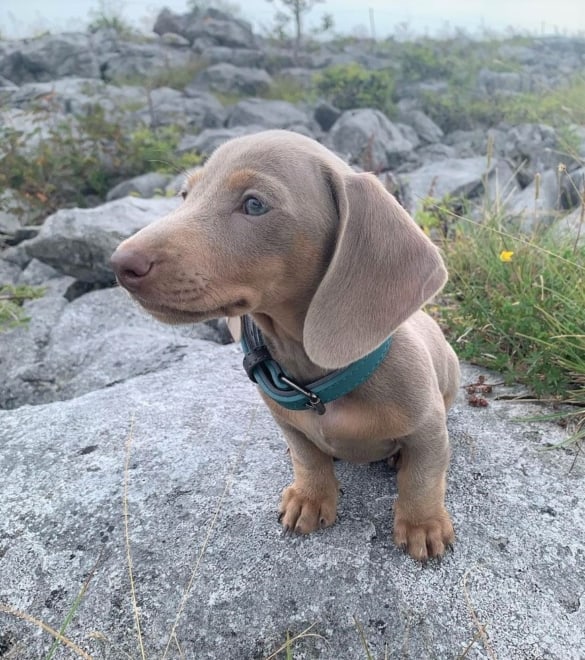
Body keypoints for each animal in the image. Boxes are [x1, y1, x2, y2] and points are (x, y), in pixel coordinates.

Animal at [108, 130, 456, 564]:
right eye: (185, 195)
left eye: (254, 204)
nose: (120, 264)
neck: (317, 384)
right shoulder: (287, 423)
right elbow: (308, 457)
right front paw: (310, 497)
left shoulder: (429, 429)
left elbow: (423, 476)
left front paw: (422, 524)